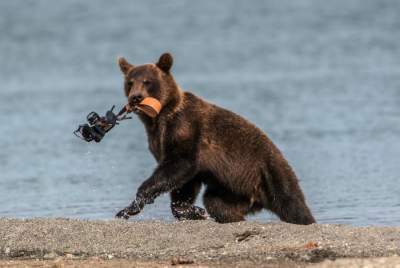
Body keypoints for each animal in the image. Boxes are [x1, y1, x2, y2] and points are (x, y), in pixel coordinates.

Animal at [115, 52, 316, 224]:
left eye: (147, 81)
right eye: (130, 82)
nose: (135, 97)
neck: (160, 117)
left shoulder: (186, 129)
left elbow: (180, 164)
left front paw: (132, 204)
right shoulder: (159, 140)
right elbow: (184, 182)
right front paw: (194, 211)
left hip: (269, 170)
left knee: (291, 202)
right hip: (233, 188)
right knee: (216, 203)